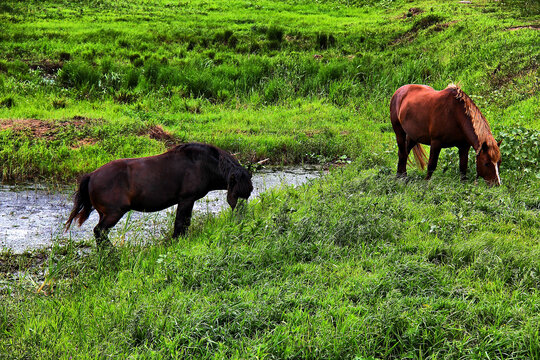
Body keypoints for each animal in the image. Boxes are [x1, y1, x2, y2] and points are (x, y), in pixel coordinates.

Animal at [64, 143, 254, 248]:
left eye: (249, 193)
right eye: (236, 193)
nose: (241, 220)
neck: (202, 164)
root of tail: (91, 176)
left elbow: (184, 223)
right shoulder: (186, 200)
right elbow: (181, 224)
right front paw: (177, 241)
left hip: (104, 213)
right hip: (114, 213)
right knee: (99, 232)